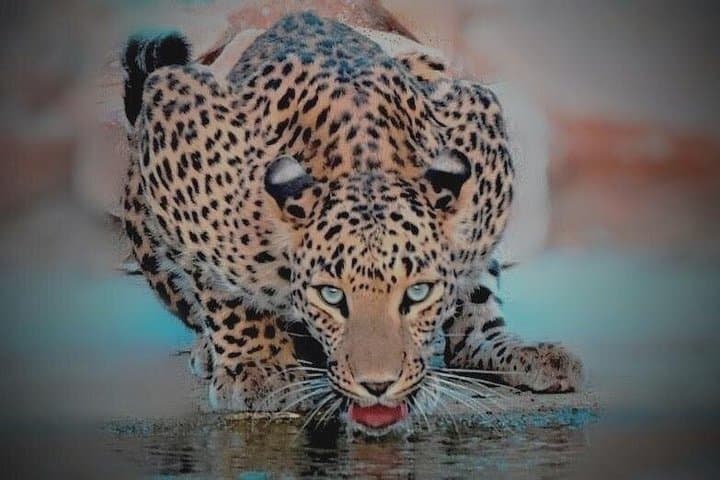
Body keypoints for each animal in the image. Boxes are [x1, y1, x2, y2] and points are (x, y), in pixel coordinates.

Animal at [120, 11, 582, 435]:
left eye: (416, 293)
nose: (377, 386)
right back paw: (210, 350)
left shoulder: (478, 124)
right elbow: (223, 287)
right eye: (331, 296)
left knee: (470, 336)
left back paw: (525, 352)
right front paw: (259, 367)